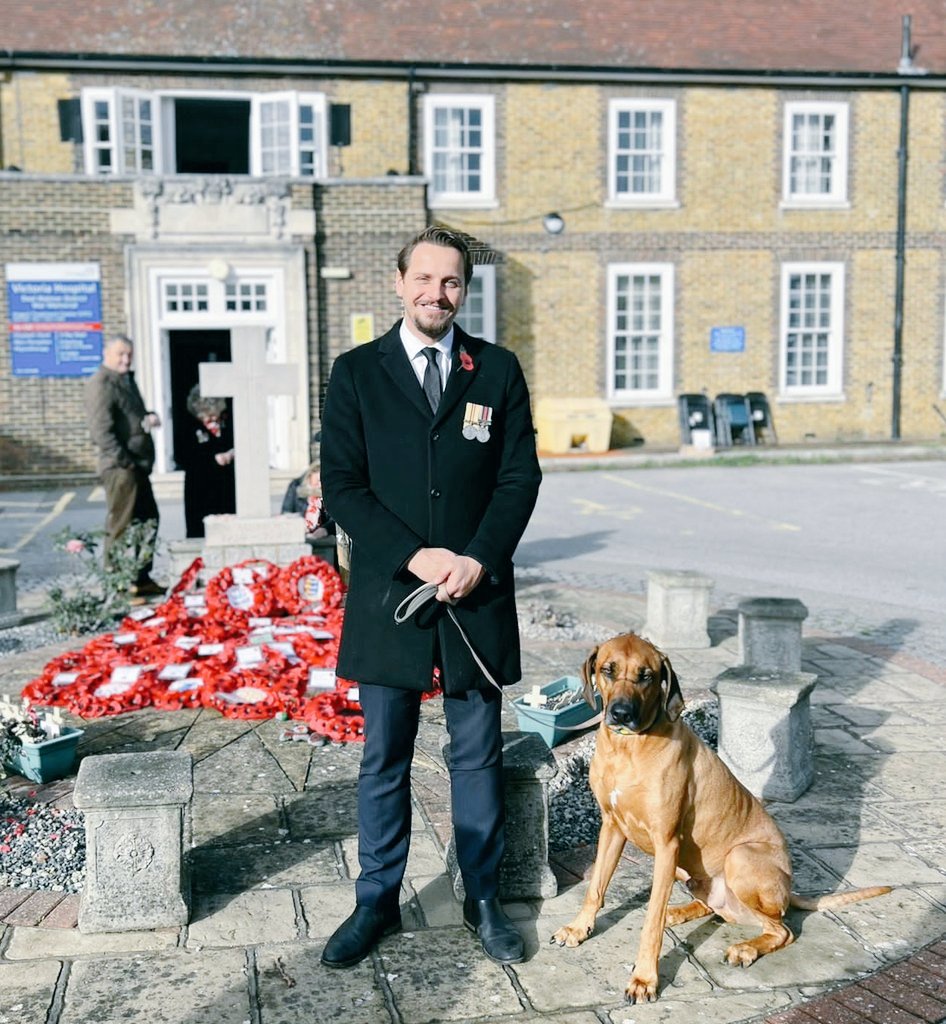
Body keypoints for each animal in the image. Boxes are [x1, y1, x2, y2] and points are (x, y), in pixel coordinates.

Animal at [548, 634, 888, 1003]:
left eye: (646, 676)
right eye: (607, 670)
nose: (621, 713)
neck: (629, 749)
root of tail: (789, 889)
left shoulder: (667, 843)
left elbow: (650, 921)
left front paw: (644, 978)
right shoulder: (611, 827)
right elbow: (595, 888)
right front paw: (578, 928)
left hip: (740, 858)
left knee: (781, 928)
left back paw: (745, 948)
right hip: (691, 873)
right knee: (716, 908)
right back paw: (679, 912)